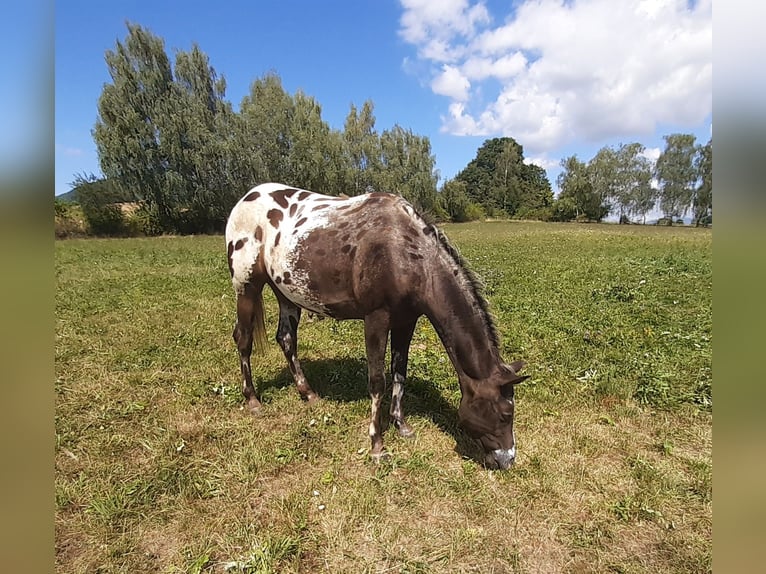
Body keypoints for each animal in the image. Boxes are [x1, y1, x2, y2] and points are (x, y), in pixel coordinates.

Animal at [225, 182, 532, 470]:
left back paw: (308, 393)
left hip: (286, 293)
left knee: (286, 339)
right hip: (247, 287)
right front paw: (377, 445)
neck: (405, 254)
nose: (507, 459)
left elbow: (399, 372)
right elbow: (377, 381)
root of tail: (245, 199)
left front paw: (402, 425)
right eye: (506, 413)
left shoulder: (406, 320)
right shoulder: (376, 318)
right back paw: (252, 400)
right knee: (243, 338)